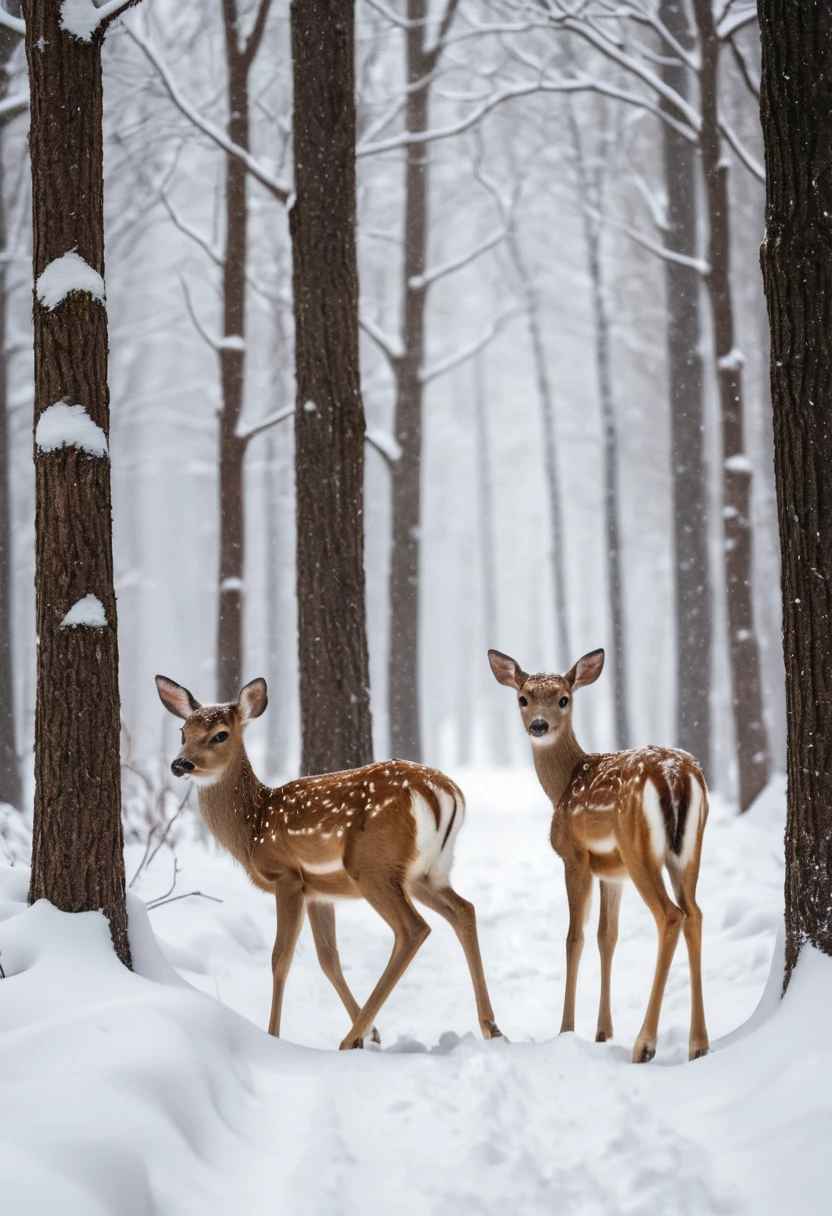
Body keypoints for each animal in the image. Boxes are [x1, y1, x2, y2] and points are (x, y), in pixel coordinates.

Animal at [155, 675, 502, 1050]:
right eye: (183, 732)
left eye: (220, 734)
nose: (180, 764)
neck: (253, 828)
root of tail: (444, 791)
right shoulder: (318, 892)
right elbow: (328, 958)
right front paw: (374, 1033)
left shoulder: (287, 876)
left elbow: (281, 958)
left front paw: (273, 1035)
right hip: (427, 872)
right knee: (464, 910)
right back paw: (490, 1026)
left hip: (373, 866)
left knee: (413, 928)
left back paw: (350, 1039)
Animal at [488, 647, 708, 1063]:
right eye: (523, 698)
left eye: (563, 698)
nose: (538, 725)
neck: (562, 786)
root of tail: (676, 776)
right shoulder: (611, 871)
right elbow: (608, 936)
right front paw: (603, 1032)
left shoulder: (574, 856)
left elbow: (574, 938)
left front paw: (566, 1029)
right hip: (689, 850)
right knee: (695, 914)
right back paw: (698, 1045)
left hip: (639, 848)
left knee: (671, 915)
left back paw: (645, 1045)